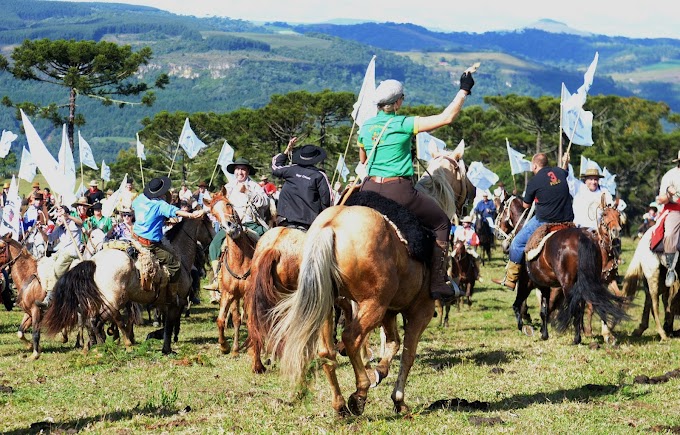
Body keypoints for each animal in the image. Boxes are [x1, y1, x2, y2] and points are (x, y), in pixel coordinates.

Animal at [40, 215, 215, 354]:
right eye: (209, 223)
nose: (214, 238)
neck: (179, 255)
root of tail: (94, 261)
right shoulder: (175, 303)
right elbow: (169, 325)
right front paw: (166, 348)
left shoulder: (165, 303)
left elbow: (166, 324)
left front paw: (156, 337)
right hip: (113, 301)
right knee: (99, 320)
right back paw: (114, 344)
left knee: (94, 321)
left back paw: (97, 344)